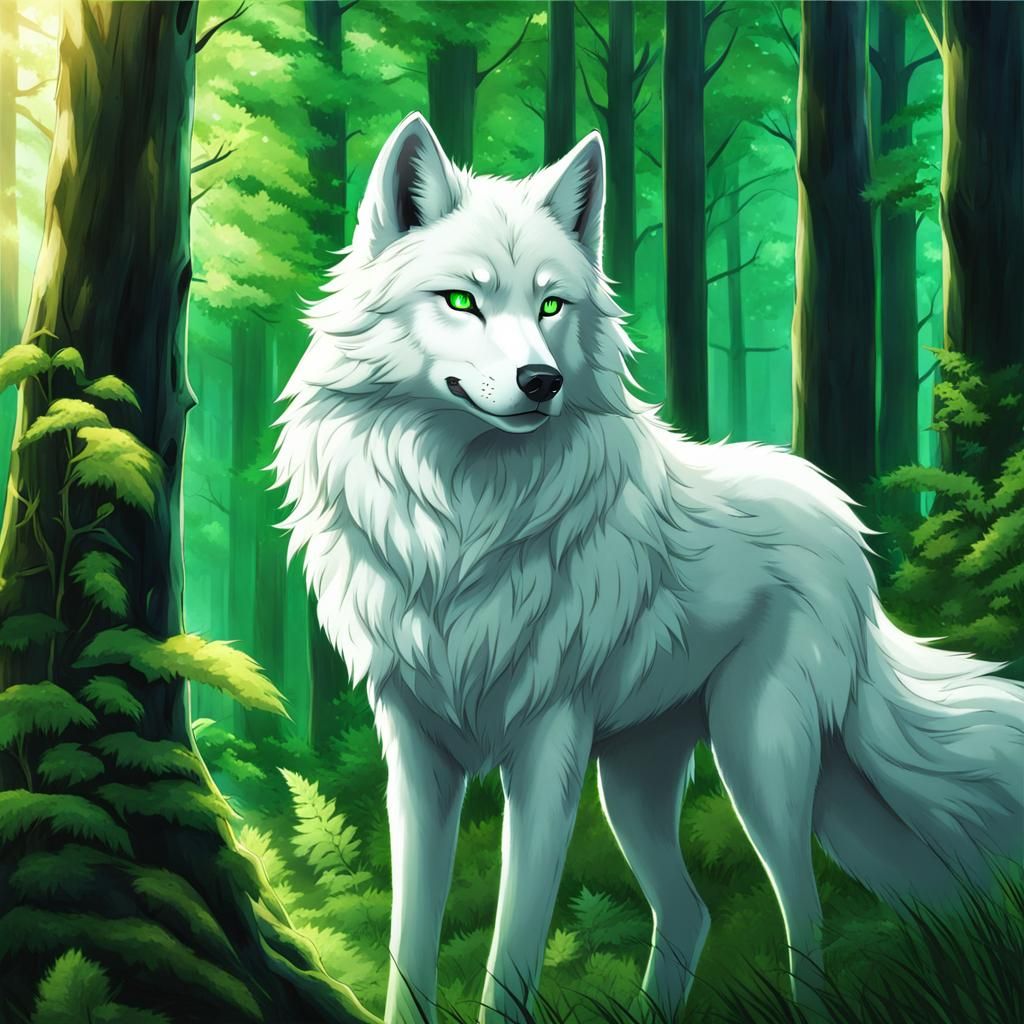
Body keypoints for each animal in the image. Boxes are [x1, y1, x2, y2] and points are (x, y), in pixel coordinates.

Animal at [271, 112, 1024, 1024]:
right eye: (461, 300)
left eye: (551, 305)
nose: (541, 380)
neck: (461, 522)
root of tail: (847, 530)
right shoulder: (417, 750)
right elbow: (409, 940)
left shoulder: (548, 744)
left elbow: (513, 948)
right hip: (638, 778)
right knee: (692, 911)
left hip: (758, 754)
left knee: (802, 908)